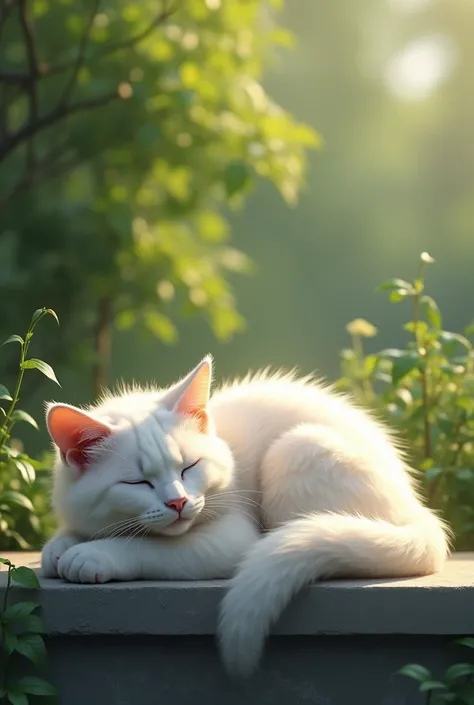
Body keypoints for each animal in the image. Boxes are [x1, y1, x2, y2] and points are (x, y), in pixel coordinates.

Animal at [40, 358, 448, 676]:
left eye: (190, 466)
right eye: (137, 482)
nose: (178, 502)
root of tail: (414, 506)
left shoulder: (232, 536)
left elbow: (152, 548)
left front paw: (96, 554)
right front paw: (61, 546)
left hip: (294, 449)